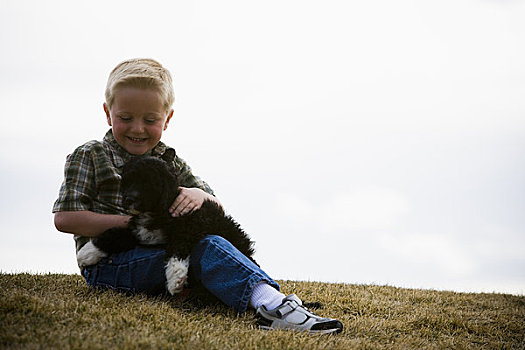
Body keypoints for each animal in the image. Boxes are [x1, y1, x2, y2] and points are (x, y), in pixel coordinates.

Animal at [77, 149, 256, 294]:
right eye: (129, 180)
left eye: (149, 183)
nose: (128, 200)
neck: (158, 211)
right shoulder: (142, 234)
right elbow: (116, 233)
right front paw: (87, 253)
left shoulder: (193, 225)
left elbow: (178, 244)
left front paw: (175, 277)